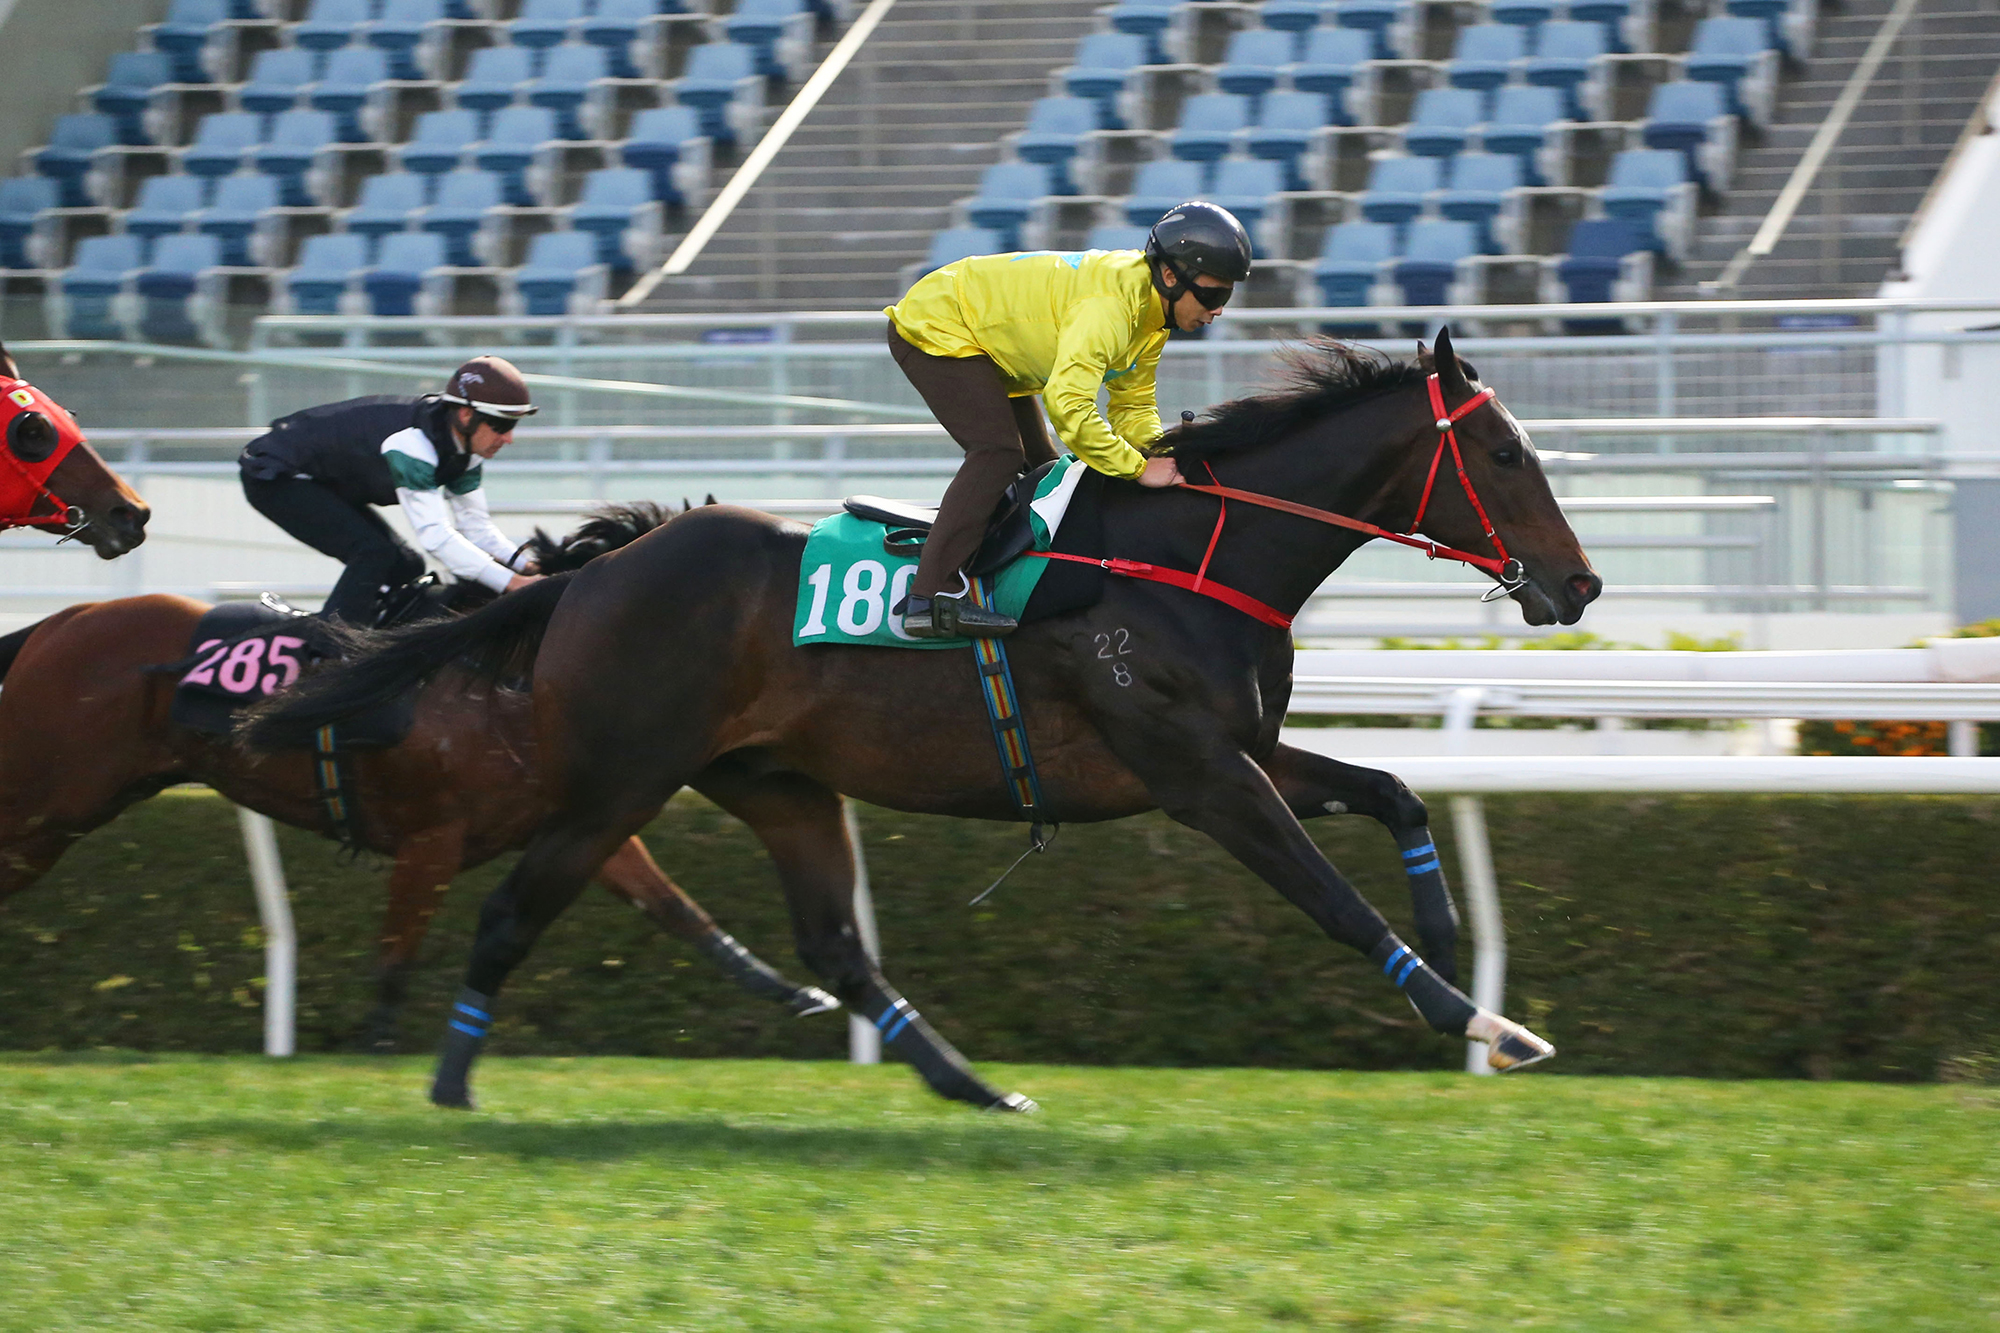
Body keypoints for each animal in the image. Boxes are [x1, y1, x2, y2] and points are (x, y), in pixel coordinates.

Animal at [0, 500, 828, 1048]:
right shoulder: (432, 838)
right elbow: (397, 957)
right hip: (44, 796)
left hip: (64, 815)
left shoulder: (583, 821)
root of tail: (56, 623)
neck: (509, 672)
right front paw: (380, 1051)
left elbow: (679, 909)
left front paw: (797, 991)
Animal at [250, 330, 1600, 1096]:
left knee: (834, 947)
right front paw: (1479, 1019)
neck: (1186, 555)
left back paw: (969, 1085)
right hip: (615, 782)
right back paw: (448, 1088)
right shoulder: (1198, 773)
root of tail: (588, 574)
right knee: (509, 913)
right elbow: (1331, 897)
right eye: (1505, 458)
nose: (1578, 584)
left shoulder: (1243, 748)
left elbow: (1396, 792)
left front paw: (1455, 945)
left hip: (776, 782)